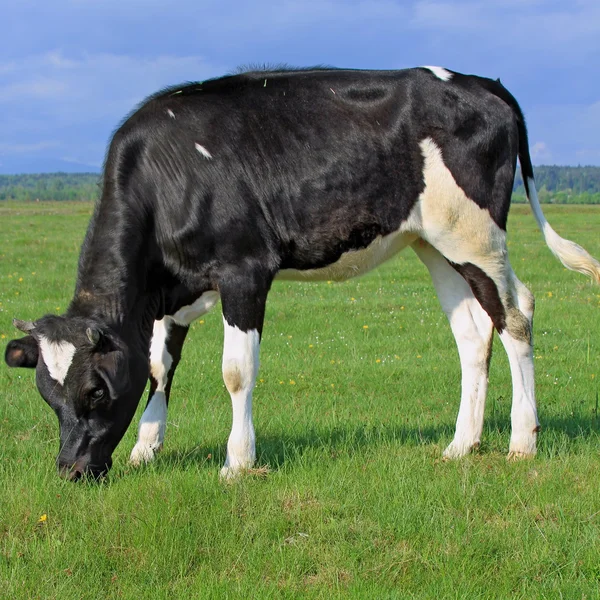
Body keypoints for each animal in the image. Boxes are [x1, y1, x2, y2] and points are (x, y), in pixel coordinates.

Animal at [4, 67, 600, 478]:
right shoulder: (174, 289)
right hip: (434, 242)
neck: (166, 178)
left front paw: (238, 463)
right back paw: (461, 444)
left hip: (475, 235)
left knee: (516, 313)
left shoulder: (244, 271)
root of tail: (483, 82)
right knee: (474, 332)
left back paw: (522, 441)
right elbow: (157, 366)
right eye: (47, 396)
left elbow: (236, 371)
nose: (72, 470)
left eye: (96, 391)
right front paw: (146, 449)